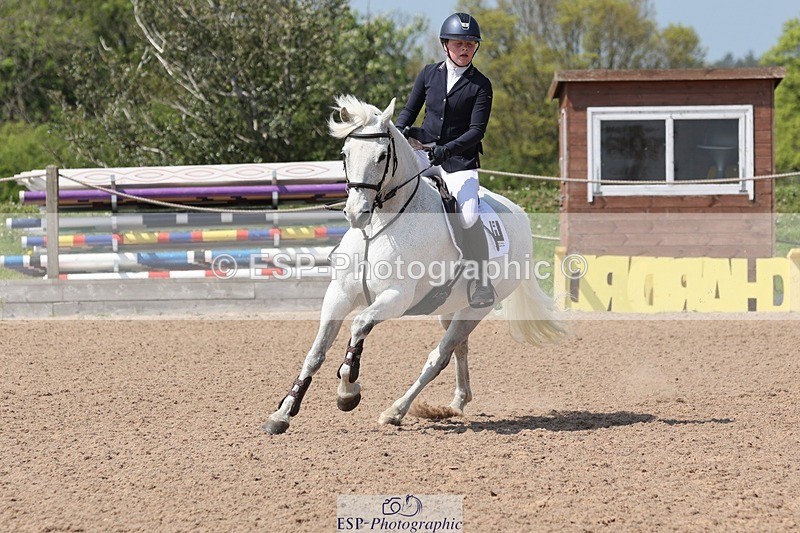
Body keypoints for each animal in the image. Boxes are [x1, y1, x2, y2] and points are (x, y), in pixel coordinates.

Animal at [263, 95, 564, 435]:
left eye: (382, 155)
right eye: (344, 153)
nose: (356, 213)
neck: (380, 223)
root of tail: (521, 216)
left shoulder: (396, 297)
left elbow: (359, 325)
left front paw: (347, 391)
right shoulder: (339, 293)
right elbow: (315, 354)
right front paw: (282, 414)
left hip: (477, 308)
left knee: (439, 357)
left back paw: (396, 411)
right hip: (451, 307)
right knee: (459, 348)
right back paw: (457, 402)